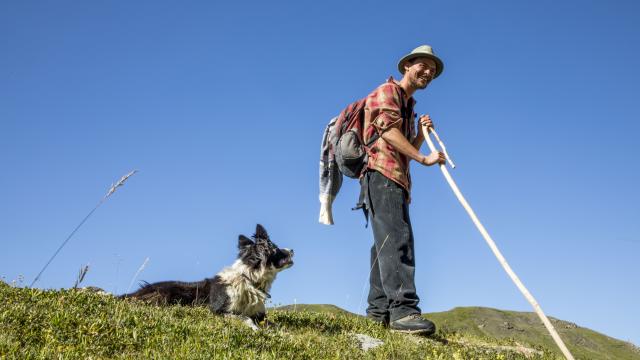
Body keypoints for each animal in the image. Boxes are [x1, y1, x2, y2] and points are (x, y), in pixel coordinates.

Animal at [120, 224, 296, 330]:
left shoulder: (260, 314)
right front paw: (255, 329)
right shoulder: (218, 311)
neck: (249, 279)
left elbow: (276, 325)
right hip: (166, 295)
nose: (293, 250)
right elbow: (245, 318)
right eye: (276, 249)